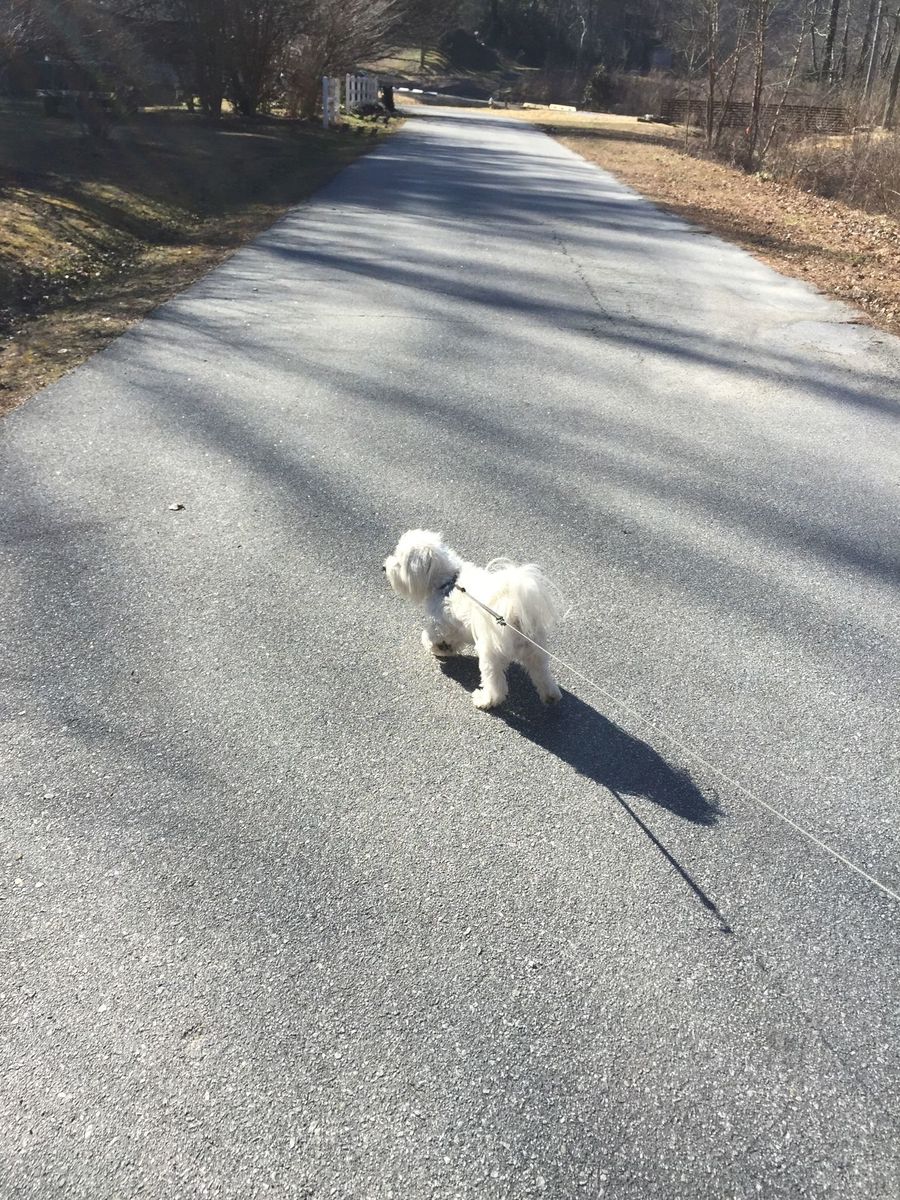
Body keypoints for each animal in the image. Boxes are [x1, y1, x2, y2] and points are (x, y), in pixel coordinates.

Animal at [383, 529, 563, 710]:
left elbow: (429, 636)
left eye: (399, 561)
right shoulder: (457, 627)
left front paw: (437, 647)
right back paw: (551, 696)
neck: (448, 581)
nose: (384, 567)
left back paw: (484, 700)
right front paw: (446, 649)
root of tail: (514, 613)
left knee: (496, 686)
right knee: (542, 673)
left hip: (490, 654)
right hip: (535, 651)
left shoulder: (441, 623)